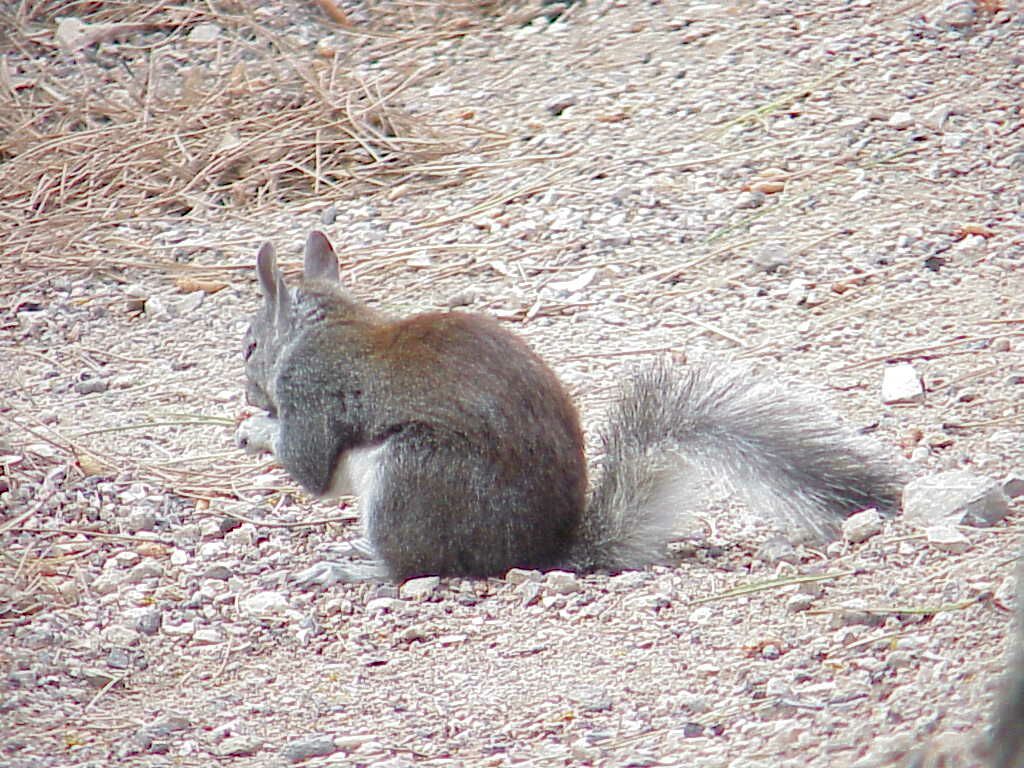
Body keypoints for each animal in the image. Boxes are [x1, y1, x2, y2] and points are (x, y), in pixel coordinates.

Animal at [237, 231, 905, 585]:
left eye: (249, 347)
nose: (246, 392)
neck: (328, 323)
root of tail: (534, 554)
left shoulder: (310, 389)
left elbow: (309, 466)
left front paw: (255, 431)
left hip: (413, 476)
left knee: (416, 566)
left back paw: (356, 569)